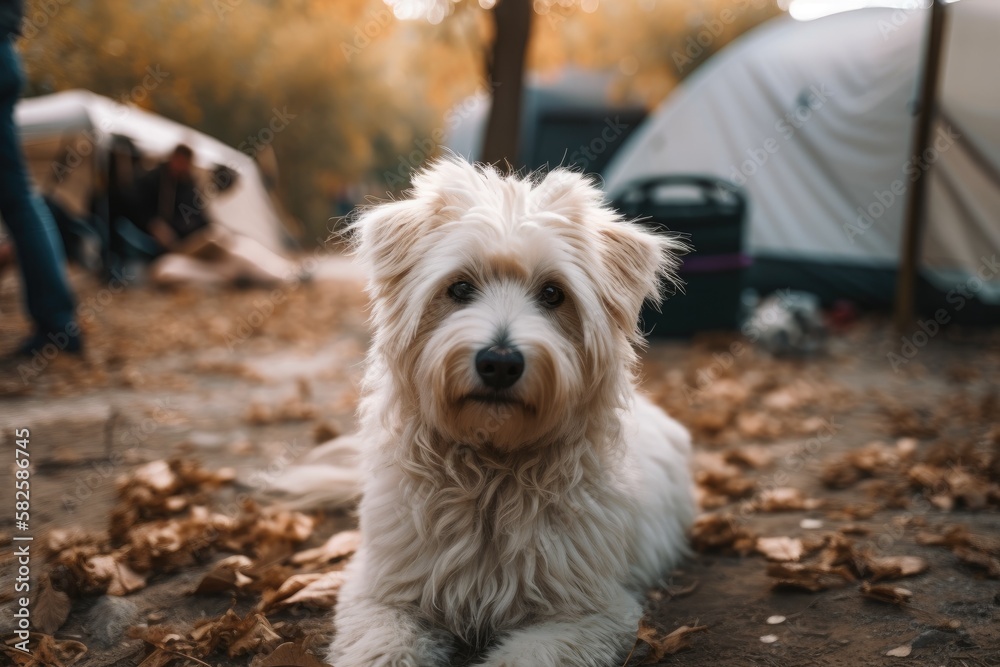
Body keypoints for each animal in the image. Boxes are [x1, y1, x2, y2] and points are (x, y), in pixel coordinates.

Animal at [324, 159, 692, 664]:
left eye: (554, 294)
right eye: (459, 287)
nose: (499, 363)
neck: (492, 478)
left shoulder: (590, 612)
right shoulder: (379, 593)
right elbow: (382, 645)